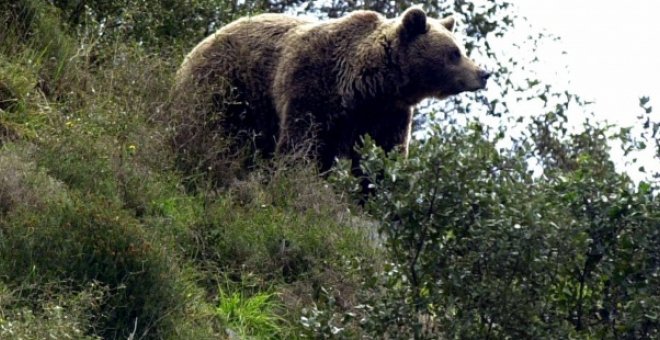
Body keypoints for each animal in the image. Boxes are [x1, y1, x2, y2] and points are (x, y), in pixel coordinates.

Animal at [173, 6, 492, 177]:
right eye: (454, 53)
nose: (483, 74)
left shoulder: (387, 114)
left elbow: (384, 155)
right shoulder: (312, 84)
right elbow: (302, 142)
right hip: (227, 85)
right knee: (210, 124)